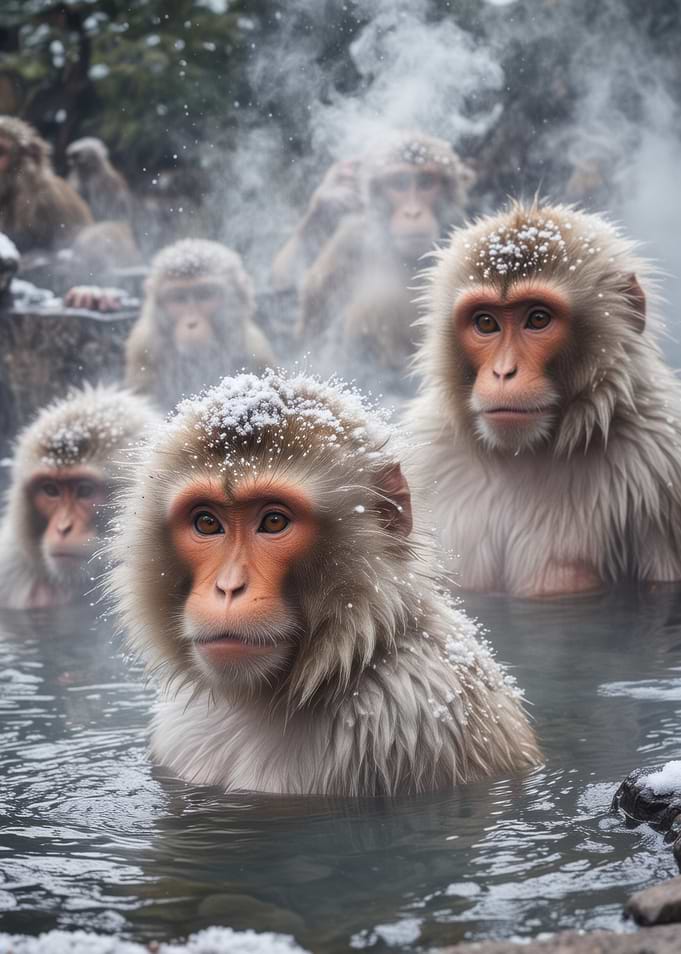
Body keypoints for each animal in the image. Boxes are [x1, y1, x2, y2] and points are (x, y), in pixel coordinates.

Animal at [404, 199, 681, 597]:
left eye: (537, 319)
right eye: (485, 323)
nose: (503, 372)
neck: (524, 452)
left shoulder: (662, 456)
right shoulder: (428, 455)